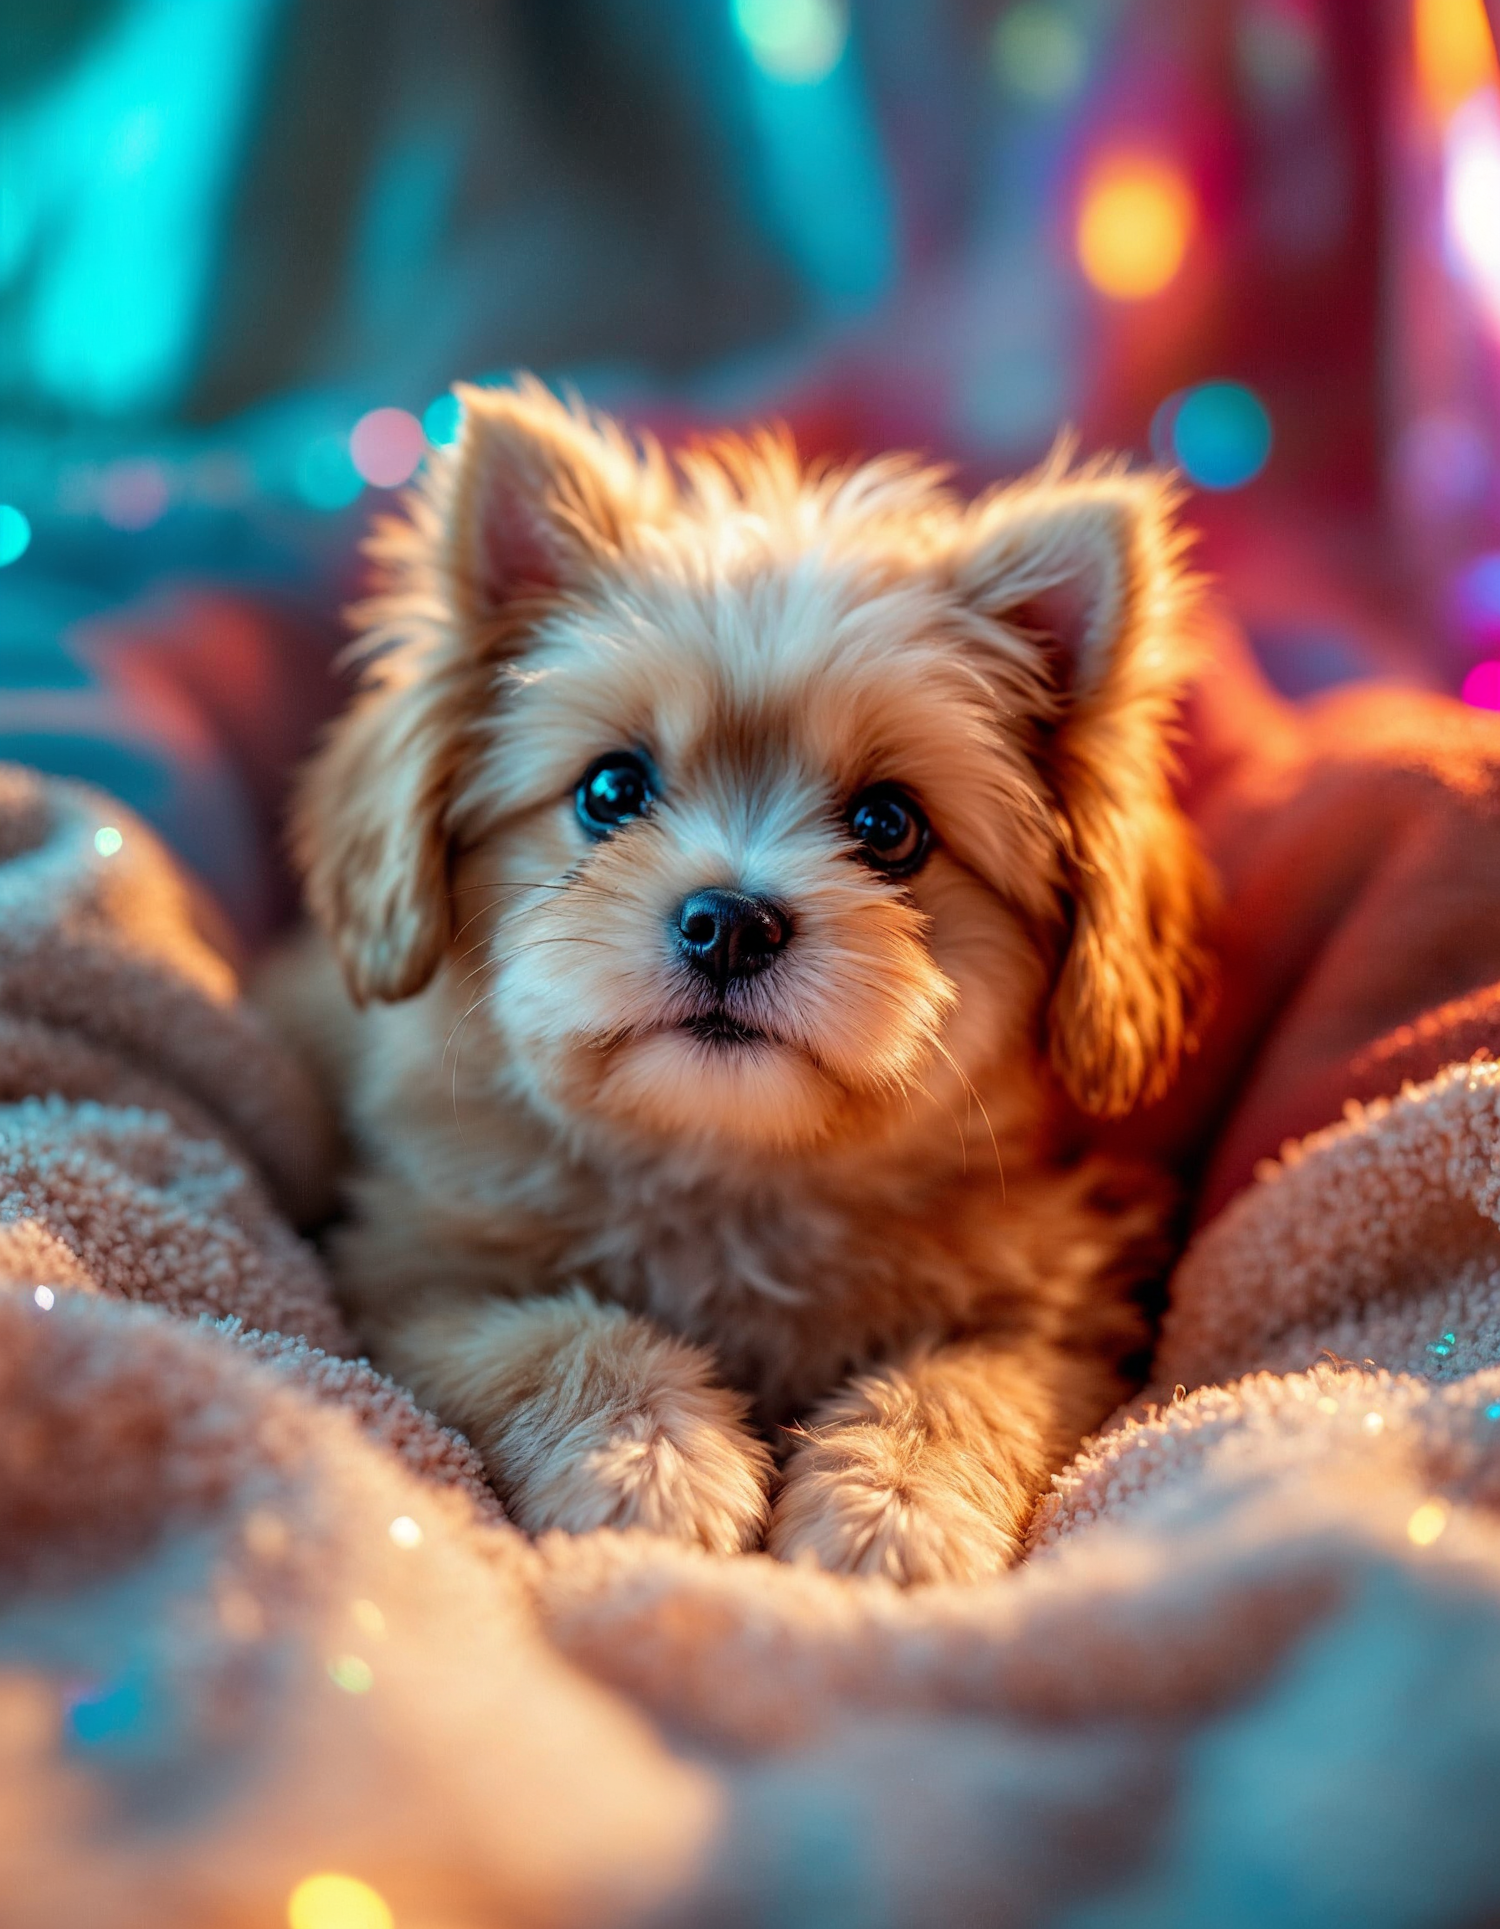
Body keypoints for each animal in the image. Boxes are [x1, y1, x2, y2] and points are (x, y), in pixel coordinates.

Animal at [287, 376, 1210, 1581]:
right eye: (611, 790)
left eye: (889, 825)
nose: (729, 923)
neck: (733, 1175)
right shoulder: (407, 1276)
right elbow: (552, 1331)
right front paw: (649, 1458)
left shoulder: (1069, 1322)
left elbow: (963, 1384)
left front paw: (892, 1503)